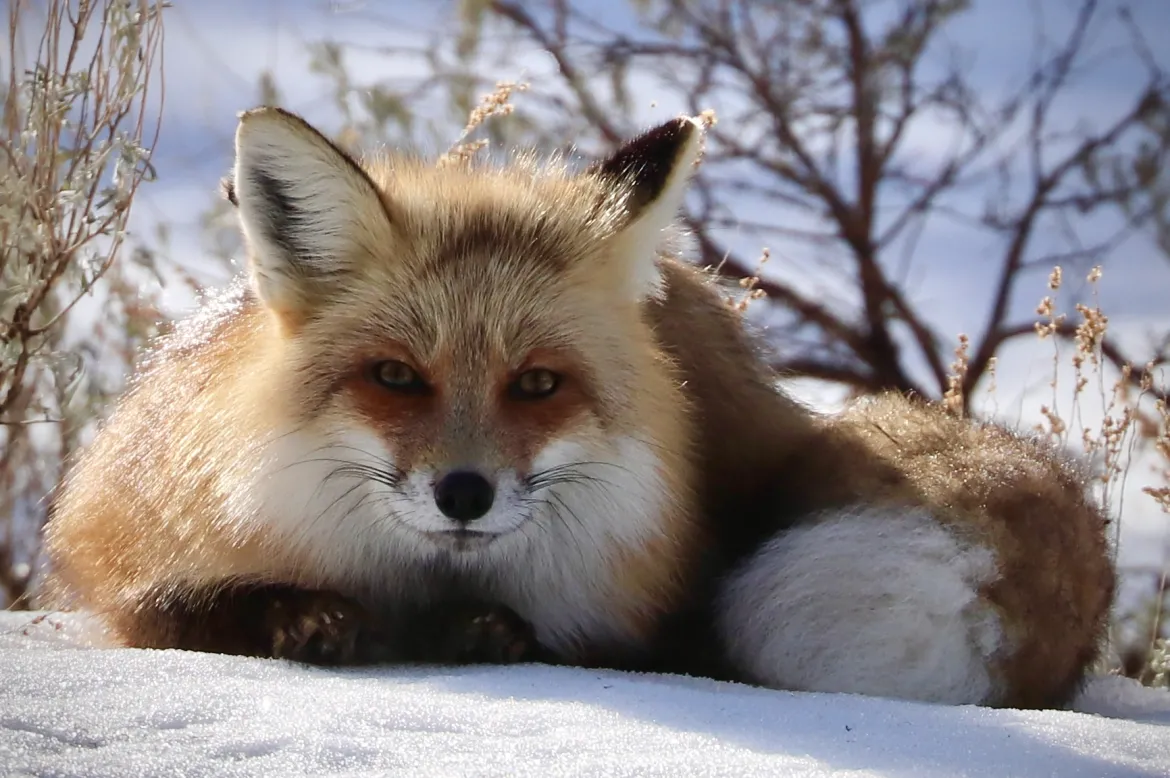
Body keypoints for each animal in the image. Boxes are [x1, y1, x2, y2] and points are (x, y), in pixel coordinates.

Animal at [43, 106, 1114, 710]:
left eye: (536, 384)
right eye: (396, 377)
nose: (464, 493)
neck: (410, 582)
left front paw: (484, 635)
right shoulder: (120, 537)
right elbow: (179, 609)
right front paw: (297, 619)